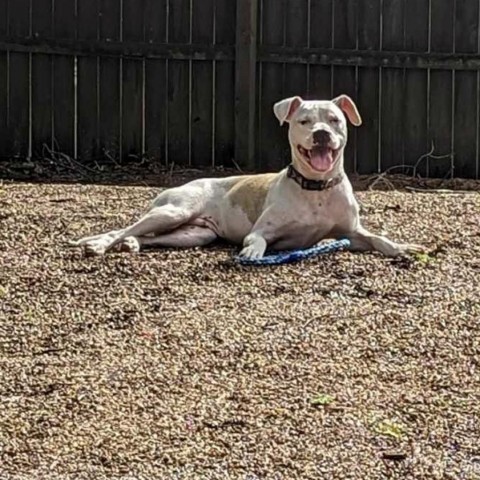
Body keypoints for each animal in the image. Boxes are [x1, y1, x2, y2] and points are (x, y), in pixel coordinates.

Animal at [73, 94, 426, 258]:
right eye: (304, 120)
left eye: (334, 119)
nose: (322, 134)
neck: (317, 189)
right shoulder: (263, 230)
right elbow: (256, 239)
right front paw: (253, 252)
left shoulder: (351, 234)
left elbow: (378, 238)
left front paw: (403, 247)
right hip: (174, 211)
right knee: (123, 228)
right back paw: (101, 245)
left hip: (193, 234)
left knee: (148, 236)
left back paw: (132, 244)